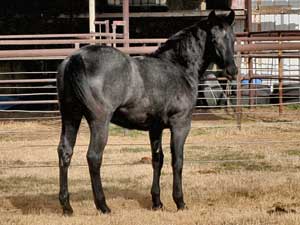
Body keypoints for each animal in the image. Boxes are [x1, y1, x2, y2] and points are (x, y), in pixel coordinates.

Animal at [56, 10, 238, 214]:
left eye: (233, 38)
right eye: (214, 39)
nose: (232, 70)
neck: (178, 67)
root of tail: (76, 58)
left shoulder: (155, 128)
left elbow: (157, 159)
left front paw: (157, 202)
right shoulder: (180, 124)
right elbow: (178, 161)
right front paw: (180, 202)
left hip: (71, 116)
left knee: (65, 152)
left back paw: (67, 206)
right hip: (99, 122)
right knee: (94, 157)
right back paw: (103, 205)